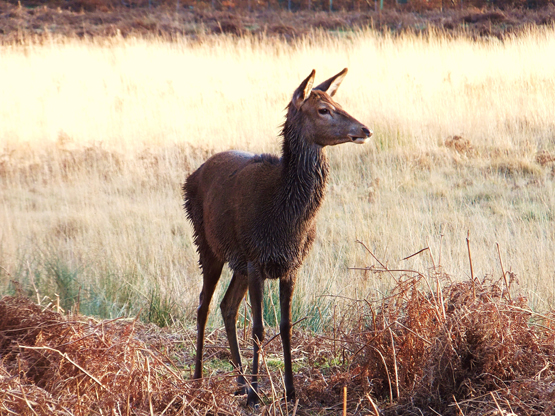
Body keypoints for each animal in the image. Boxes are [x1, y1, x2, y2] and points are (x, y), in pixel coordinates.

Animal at [185, 69, 372, 406]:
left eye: (339, 102)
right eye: (323, 109)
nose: (365, 129)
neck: (285, 219)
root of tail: (191, 177)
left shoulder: (291, 264)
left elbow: (286, 326)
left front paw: (290, 390)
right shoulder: (257, 260)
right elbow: (259, 328)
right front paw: (256, 396)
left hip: (238, 262)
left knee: (227, 306)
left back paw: (239, 382)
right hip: (208, 244)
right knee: (203, 305)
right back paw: (199, 378)